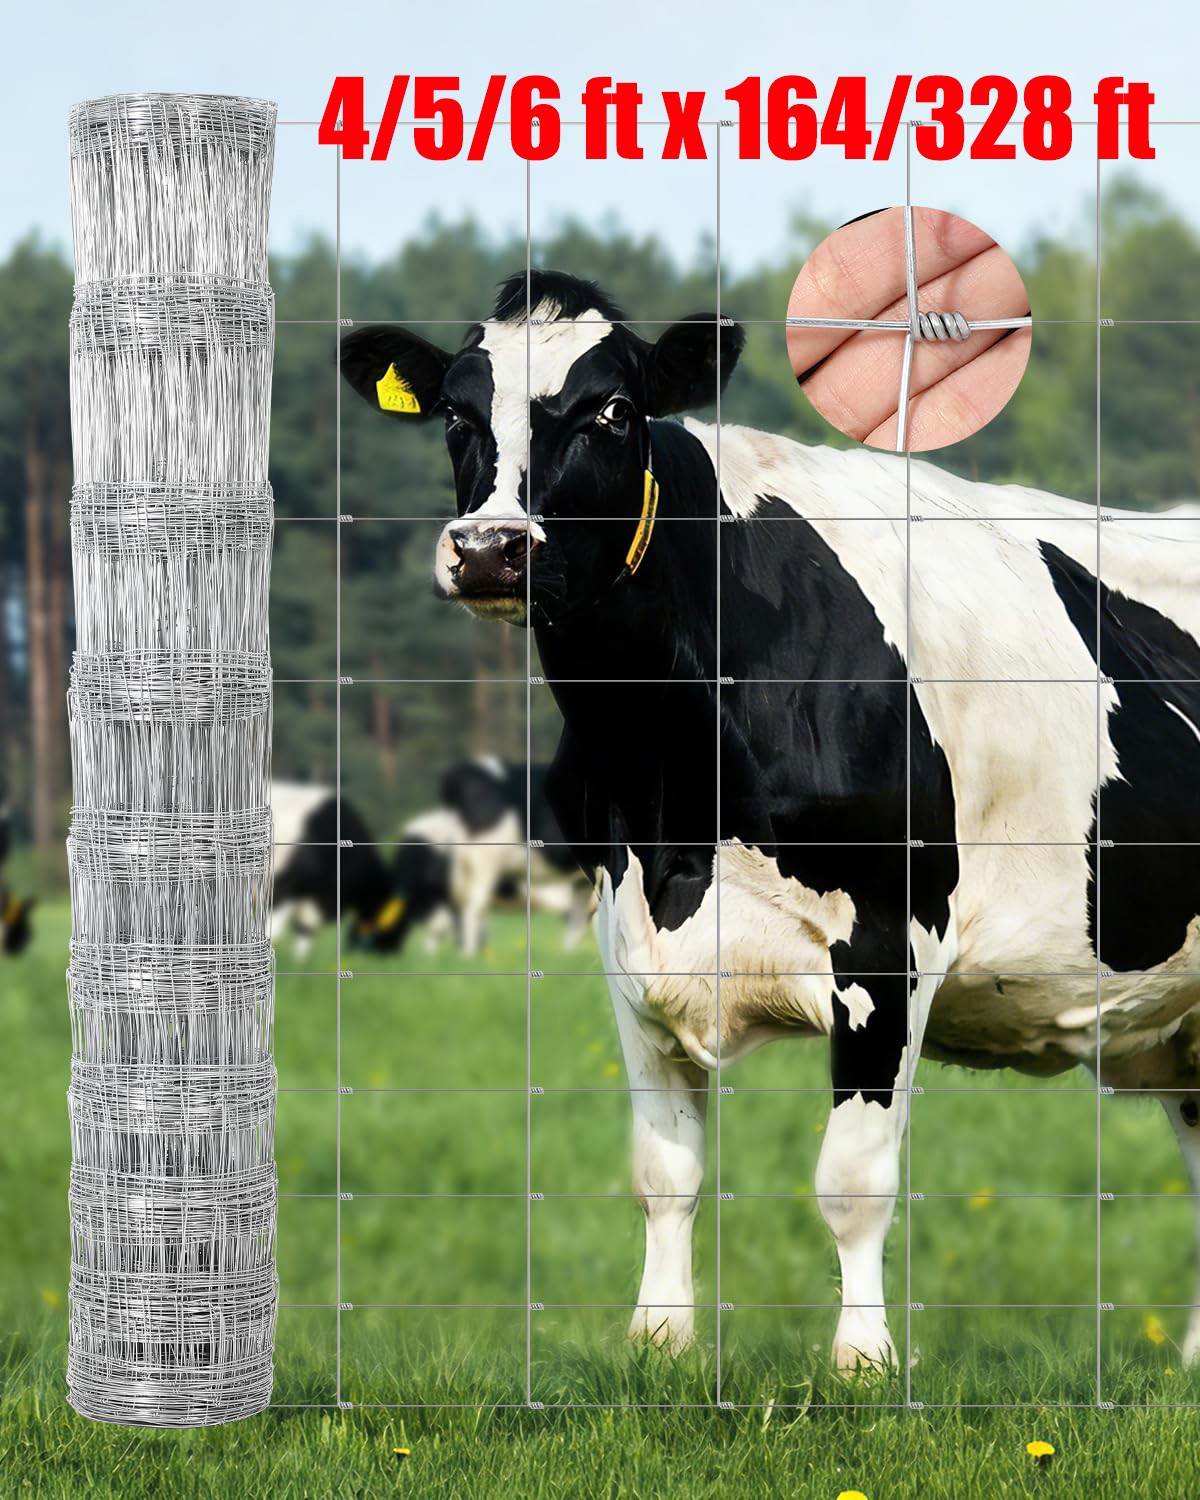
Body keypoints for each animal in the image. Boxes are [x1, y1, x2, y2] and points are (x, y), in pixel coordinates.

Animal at [340, 269, 1200, 1373]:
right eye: (455, 413)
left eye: (613, 411)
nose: (491, 551)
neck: (674, 799)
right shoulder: (626, 942)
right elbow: (664, 1173)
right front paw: (659, 1345)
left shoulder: (889, 945)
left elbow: (853, 1181)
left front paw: (863, 1363)